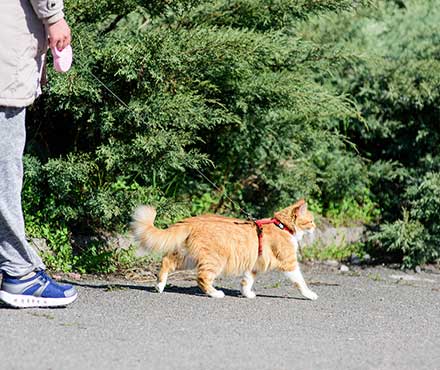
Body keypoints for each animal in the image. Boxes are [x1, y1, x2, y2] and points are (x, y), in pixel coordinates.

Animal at [129, 199, 318, 300]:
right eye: (311, 221)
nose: (316, 227)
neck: (282, 226)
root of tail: (193, 219)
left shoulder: (254, 265)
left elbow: (246, 282)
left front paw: (247, 294)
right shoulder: (289, 263)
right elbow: (301, 282)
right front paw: (310, 294)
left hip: (189, 258)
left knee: (166, 261)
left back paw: (159, 286)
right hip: (214, 260)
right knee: (201, 278)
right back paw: (215, 293)